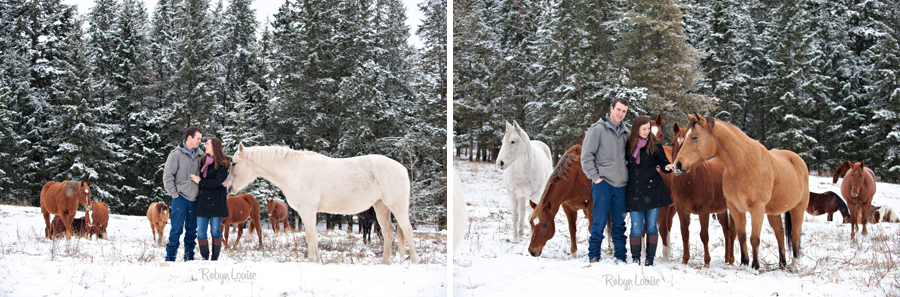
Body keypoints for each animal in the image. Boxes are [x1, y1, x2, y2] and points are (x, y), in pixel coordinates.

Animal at [656, 120, 736, 266]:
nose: (678, 166)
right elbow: (684, 233)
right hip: (721, 210)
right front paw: (685, 259)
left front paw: (707, 261)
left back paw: (732, 259)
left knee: (732, 231)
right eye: (672, 143)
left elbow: (704, 235)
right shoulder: (681, 210)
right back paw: (727, 259)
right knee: (726, 231)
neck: (690, 183)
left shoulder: (703, 210)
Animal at [672, 114, 812, 272]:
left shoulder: (757, 209)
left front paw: (755, 266)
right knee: (780, 233)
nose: (678, 164)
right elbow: (741, 236)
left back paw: (794, 264)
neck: (742, 165)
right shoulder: (735, 208)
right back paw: (782, 264)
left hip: (798, 209)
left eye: (694, 137)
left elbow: (754, 239)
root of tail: (797, 159)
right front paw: (744, 263)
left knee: (794, 233)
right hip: (773, 213)